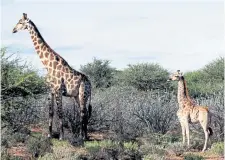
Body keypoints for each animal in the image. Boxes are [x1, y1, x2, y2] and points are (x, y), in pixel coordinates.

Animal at [12, 12, 92, 140]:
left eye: (20, 22)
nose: (13, 30)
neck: (48, 66)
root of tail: (90, 83)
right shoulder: (50, 91)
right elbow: (51, 112)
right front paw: (49, 135)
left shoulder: (58, 90)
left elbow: (60, 113)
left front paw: (61, 136)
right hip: (76, 96)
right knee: (82, 113)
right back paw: (83, 135)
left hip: (83, 94)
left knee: (84, 113)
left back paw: (83, 137)